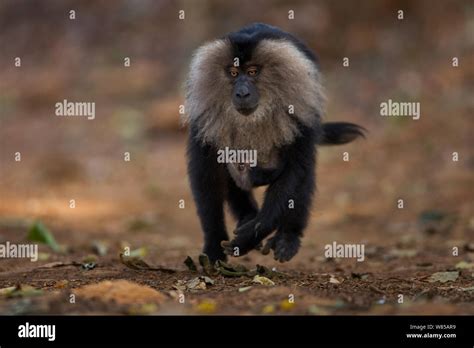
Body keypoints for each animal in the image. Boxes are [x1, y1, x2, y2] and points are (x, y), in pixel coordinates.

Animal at [183, 23, 364, 264]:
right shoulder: (204, 117)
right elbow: (207, 176)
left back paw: (287, 236)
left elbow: (294, 172)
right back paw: (247, 214)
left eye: (252, 72)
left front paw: (252, 235)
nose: (242, 93)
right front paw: (214, 247)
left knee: (303, 174)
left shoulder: (300, 112)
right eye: (233, 73)